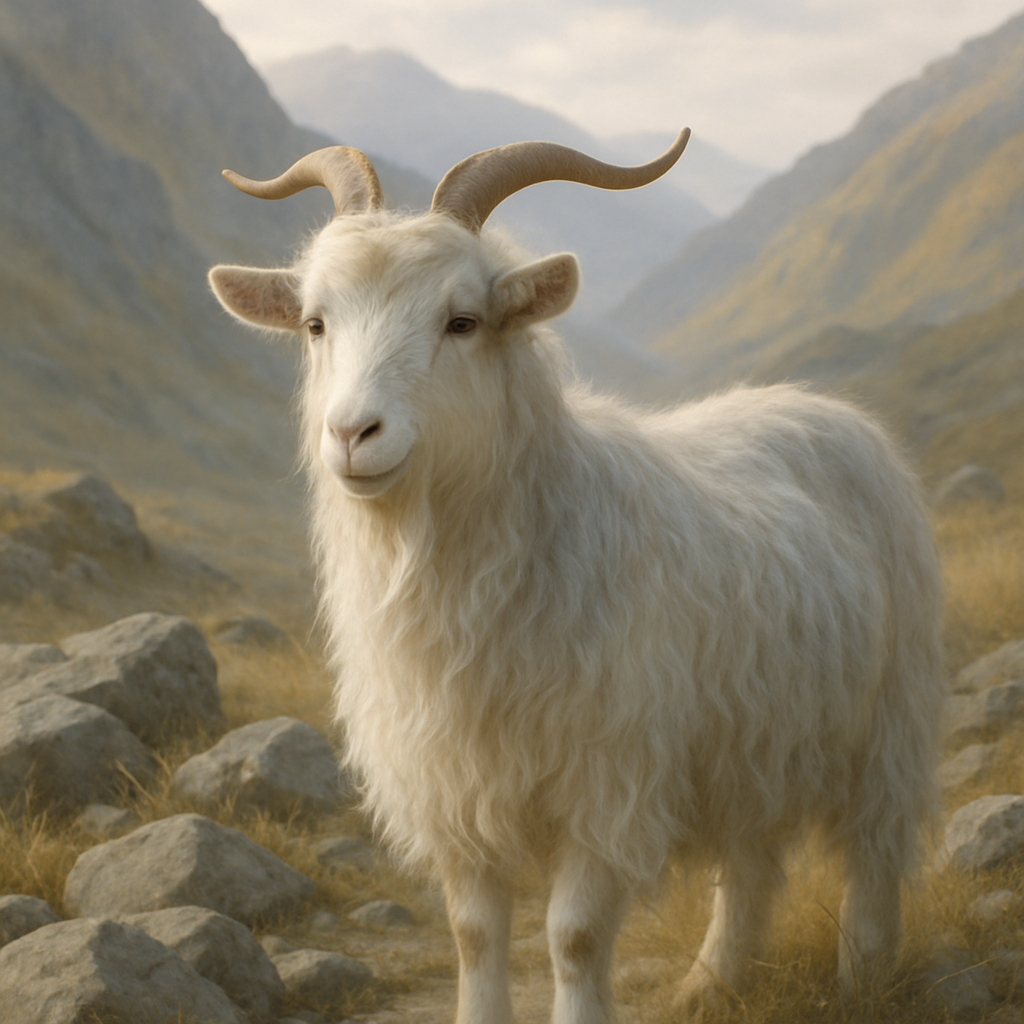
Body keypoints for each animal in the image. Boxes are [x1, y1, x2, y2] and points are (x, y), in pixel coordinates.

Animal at [208, 133, 944, 1024]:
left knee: (874, 855)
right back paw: (710, 982)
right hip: (754, 740)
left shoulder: (608, 787)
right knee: (753, 862)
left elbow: (575, 938)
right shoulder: (456, 791)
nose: (352, 434)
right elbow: (473, 935)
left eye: (462, 321)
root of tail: (829, 411)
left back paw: (866, 978)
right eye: (316, 323)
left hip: (888, 719)